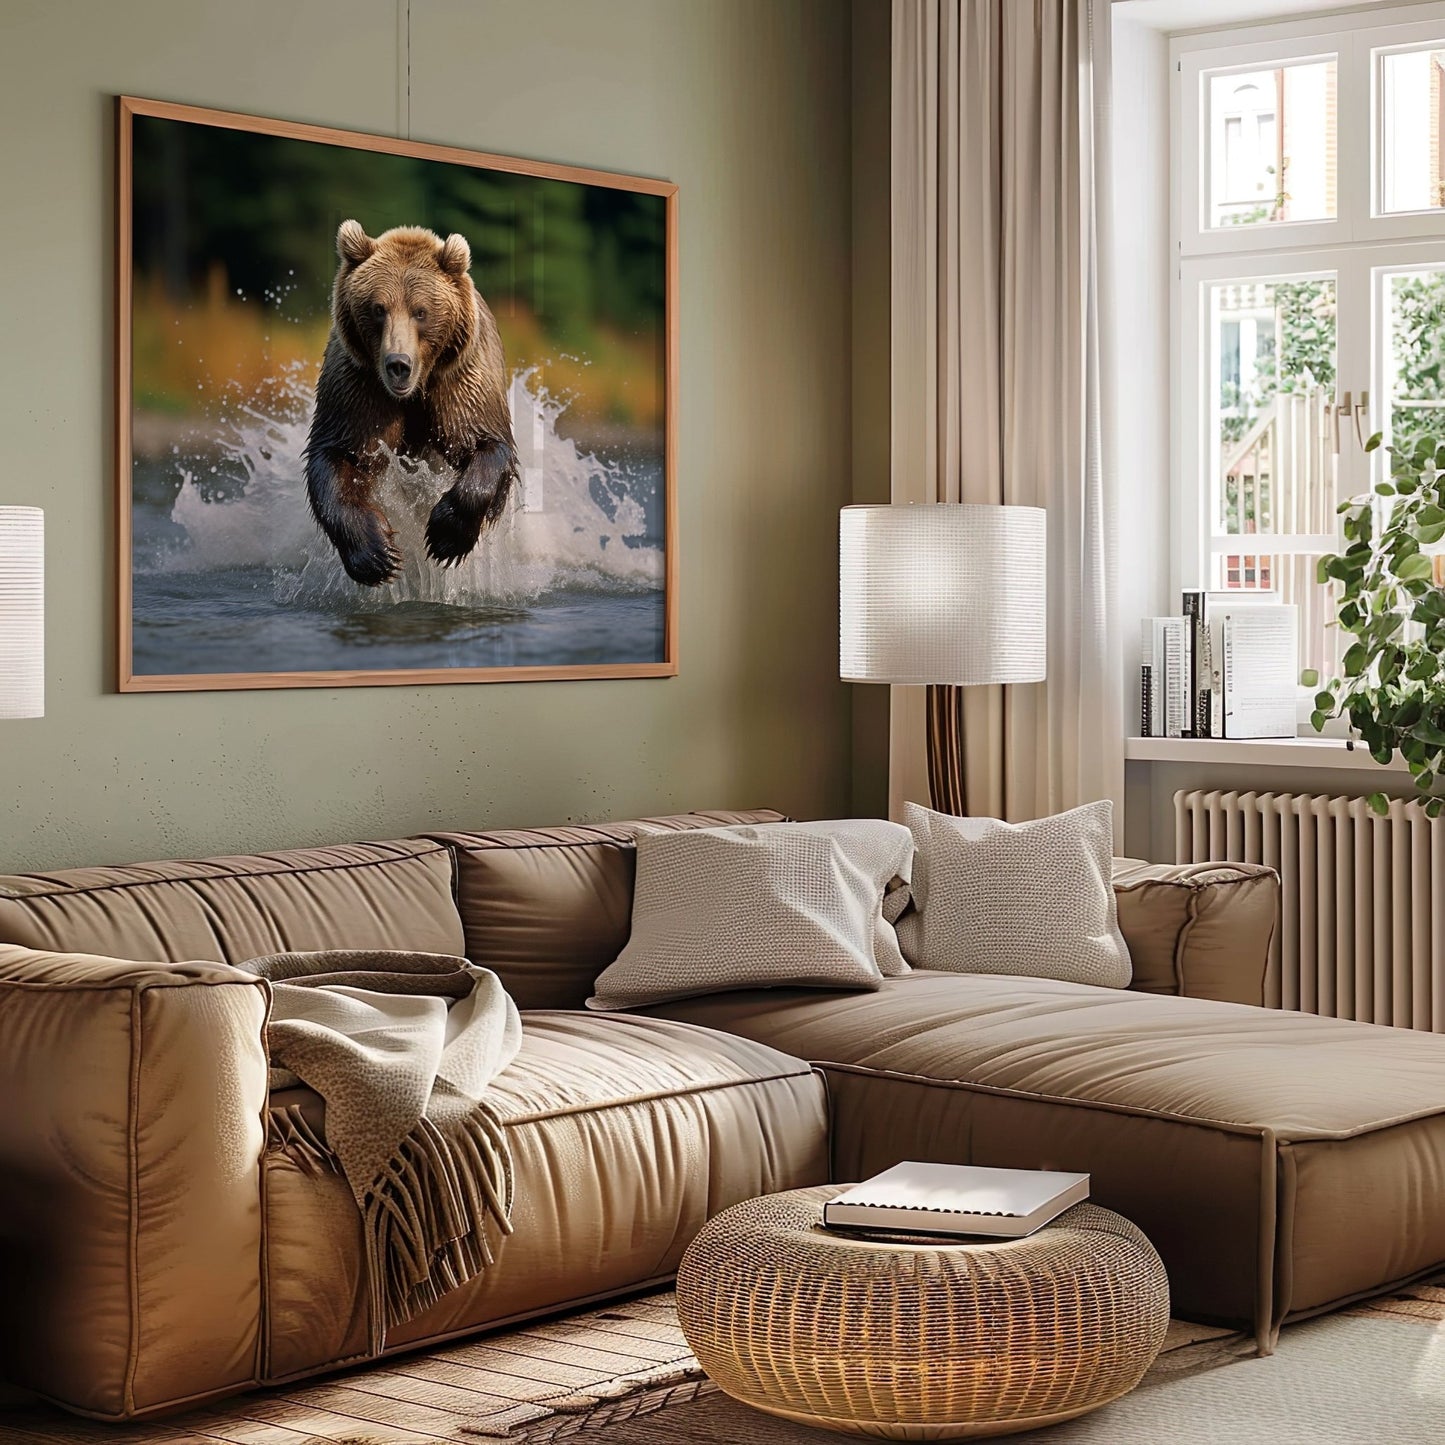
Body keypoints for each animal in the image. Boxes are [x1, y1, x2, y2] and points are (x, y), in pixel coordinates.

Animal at [303, 219, 518, 586]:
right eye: (378, 308)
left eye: (421, 311)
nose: (398, 364)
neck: (416, 390)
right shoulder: (360, 384)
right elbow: (337, 455)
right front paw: (377, 555)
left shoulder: (460, 378)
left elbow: (485, 445)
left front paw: (445, 537)